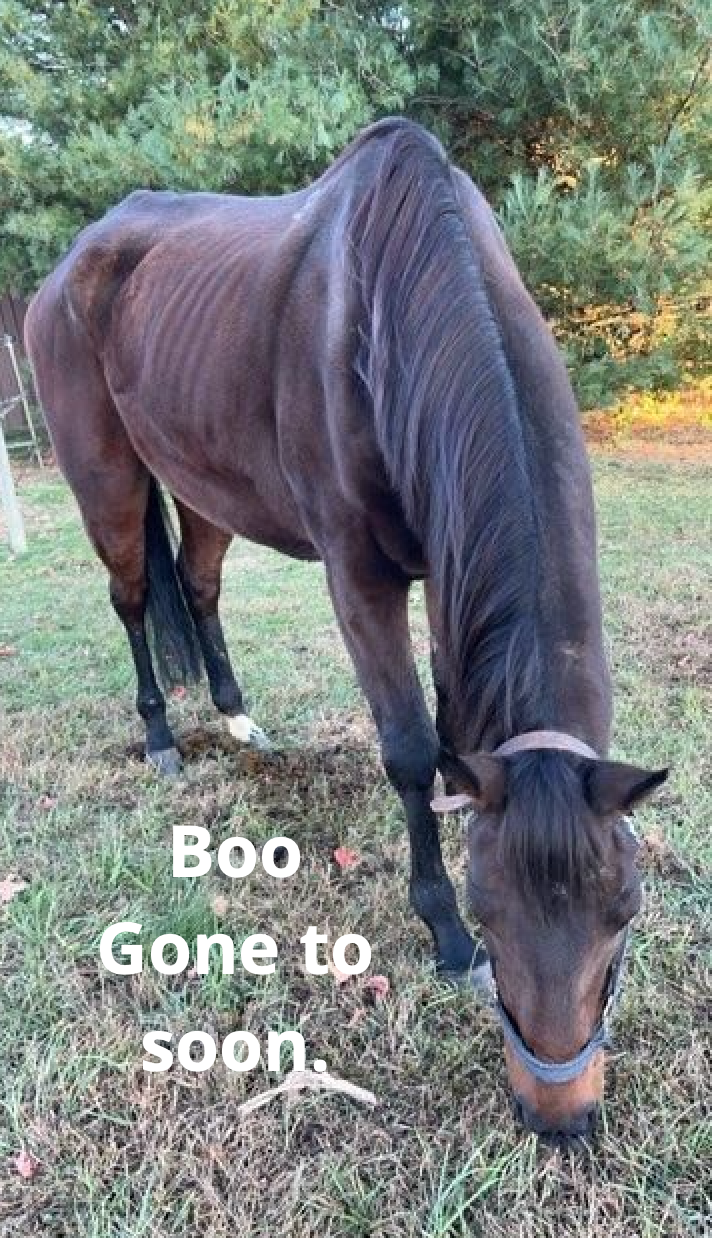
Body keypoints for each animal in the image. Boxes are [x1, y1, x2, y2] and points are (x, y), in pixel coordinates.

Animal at [25, 117, 667, 1139]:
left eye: (626, 912)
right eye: (490, 911)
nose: (559, 1117)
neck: (396, 313)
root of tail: (70, 265)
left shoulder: (448, 578)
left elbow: (450, 741)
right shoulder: (359, 578)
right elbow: (409, 749)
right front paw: (440, 933)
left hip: (206, 483)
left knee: (198, 587)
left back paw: (239, 719)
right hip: (108, 483)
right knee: (130, 599)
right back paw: (161, 737)